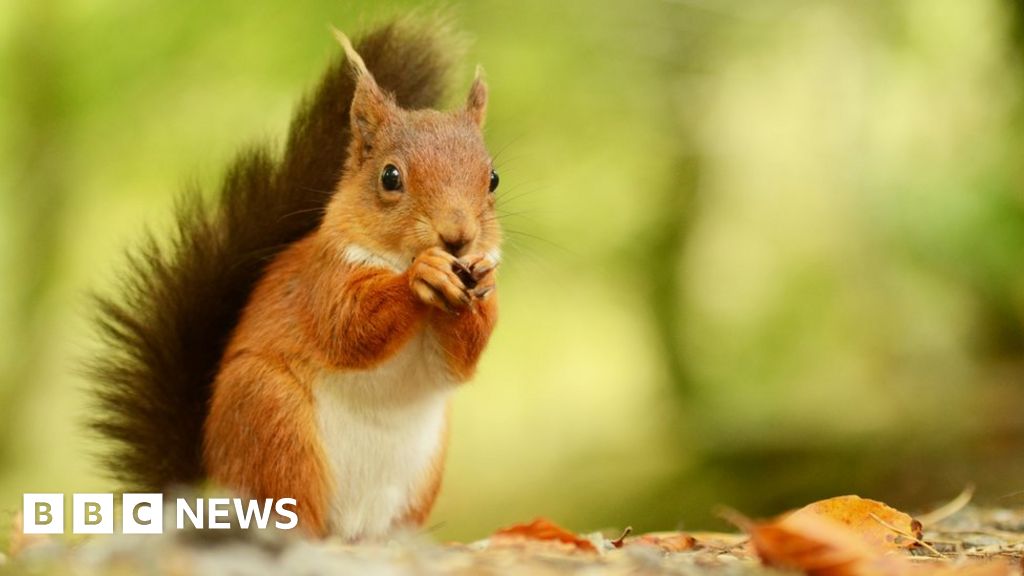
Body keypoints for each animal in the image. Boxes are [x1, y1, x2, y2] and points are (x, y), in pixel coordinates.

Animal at [90, 19, 497, 537]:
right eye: (390, 177)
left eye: (493, 179)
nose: (458, 237)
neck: (392, 259)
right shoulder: (322, 280)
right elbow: (349, 327)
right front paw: (421, 275)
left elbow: (458, 362)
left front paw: (478, 288)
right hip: (273, 425)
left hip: (419, 476)